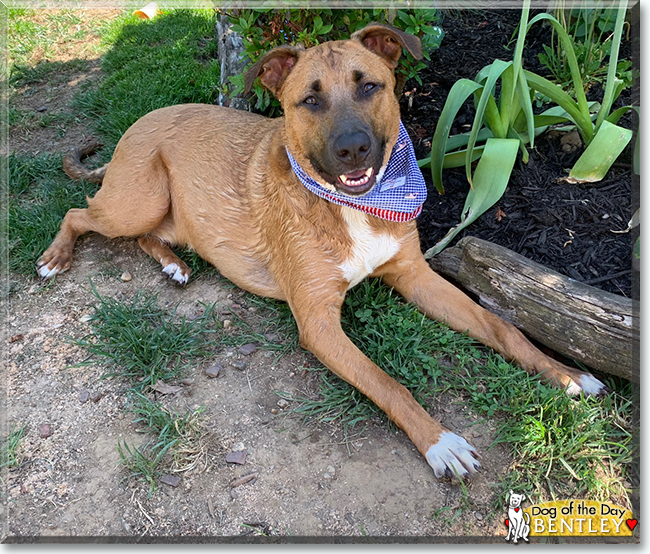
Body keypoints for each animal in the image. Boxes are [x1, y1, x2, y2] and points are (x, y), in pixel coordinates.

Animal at [36, 23, 604, 476]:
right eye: (309, 101)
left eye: (370, 86)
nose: (353, 148)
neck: (354, 205)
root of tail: (132, 130)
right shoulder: (319, 322)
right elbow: (387, 382)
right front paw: (440, 442)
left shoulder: (415, 276)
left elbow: (501, 327)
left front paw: (566, 375)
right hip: (138, 199)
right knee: (79, 213)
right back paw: (54, 258)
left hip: (163, 213)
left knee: (143, 234)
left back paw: (174, 264)